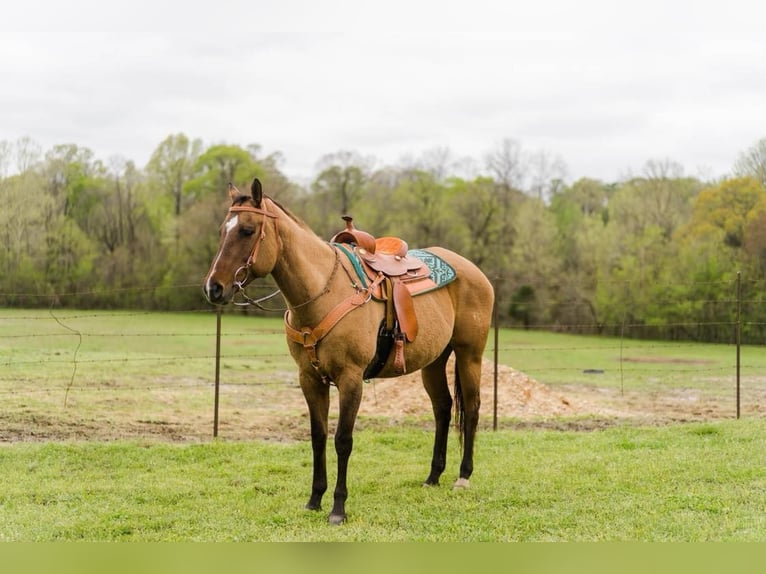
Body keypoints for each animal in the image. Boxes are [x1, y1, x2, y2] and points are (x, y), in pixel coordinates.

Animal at [201, 180, 496, 528]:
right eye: (223, 230)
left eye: (247, 230)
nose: (213, 288)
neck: (324, 292)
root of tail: (474, 270)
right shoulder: (310, 379)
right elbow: (317, 437)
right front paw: (314, 500)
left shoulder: (350, 379)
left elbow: (343, 440)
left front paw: (338, 508)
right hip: (434, 361)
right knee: (443, 408)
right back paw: (433, 476)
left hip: (469, 354)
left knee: (472, 408)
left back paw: (463, 477)